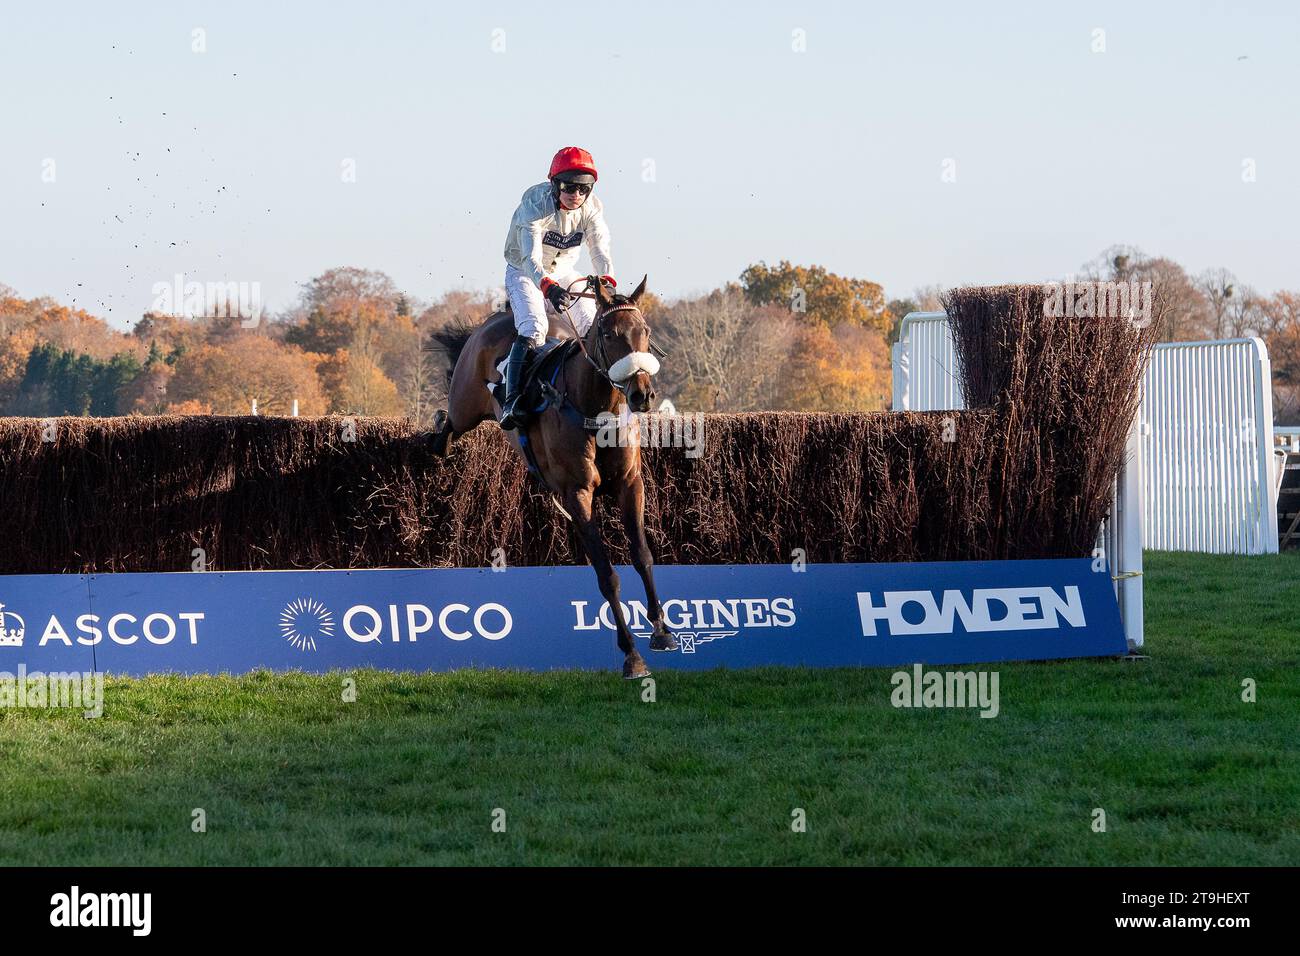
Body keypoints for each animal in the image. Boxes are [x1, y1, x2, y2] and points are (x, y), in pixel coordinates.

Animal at [431, 274, 686, 681]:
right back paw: (439, 434)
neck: (595, 411)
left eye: (645, 331)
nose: (642, 395)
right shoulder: (576, 492)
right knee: (450, 422)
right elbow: (606, 573)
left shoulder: (630, 484)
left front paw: (662, 631)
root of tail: (496, 318)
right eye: (610, 334)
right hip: (466, 404)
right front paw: (631, 655)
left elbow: (642, 555)